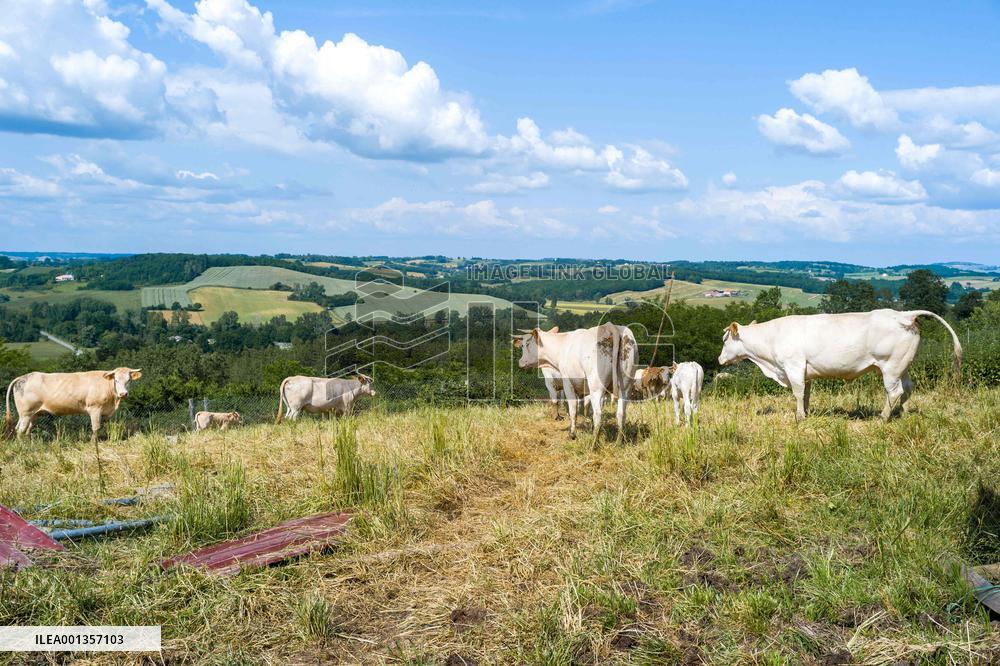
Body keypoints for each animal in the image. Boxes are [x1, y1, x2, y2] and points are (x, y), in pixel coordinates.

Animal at [4, 368, 142, 441]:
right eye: (116, 380)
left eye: (129, 380)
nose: (123, 393)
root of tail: (23, 377)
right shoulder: (95, 409)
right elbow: (96, 428)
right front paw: (94, 442)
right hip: (26, 413)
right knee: (20, 430)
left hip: (32, 414)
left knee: (25, 428)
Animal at [717, 310, 962, 420]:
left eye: (724, 339)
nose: (719, 360)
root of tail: (904, 314)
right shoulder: (805, 372)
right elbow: (806, 394)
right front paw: (806, 412)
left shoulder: (793, 366)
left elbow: (797, 392)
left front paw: (799, 417)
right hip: (904, 366)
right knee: (908, 390)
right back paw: (903, 413)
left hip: (891, 367)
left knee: (894, 392)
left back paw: (883, 418)